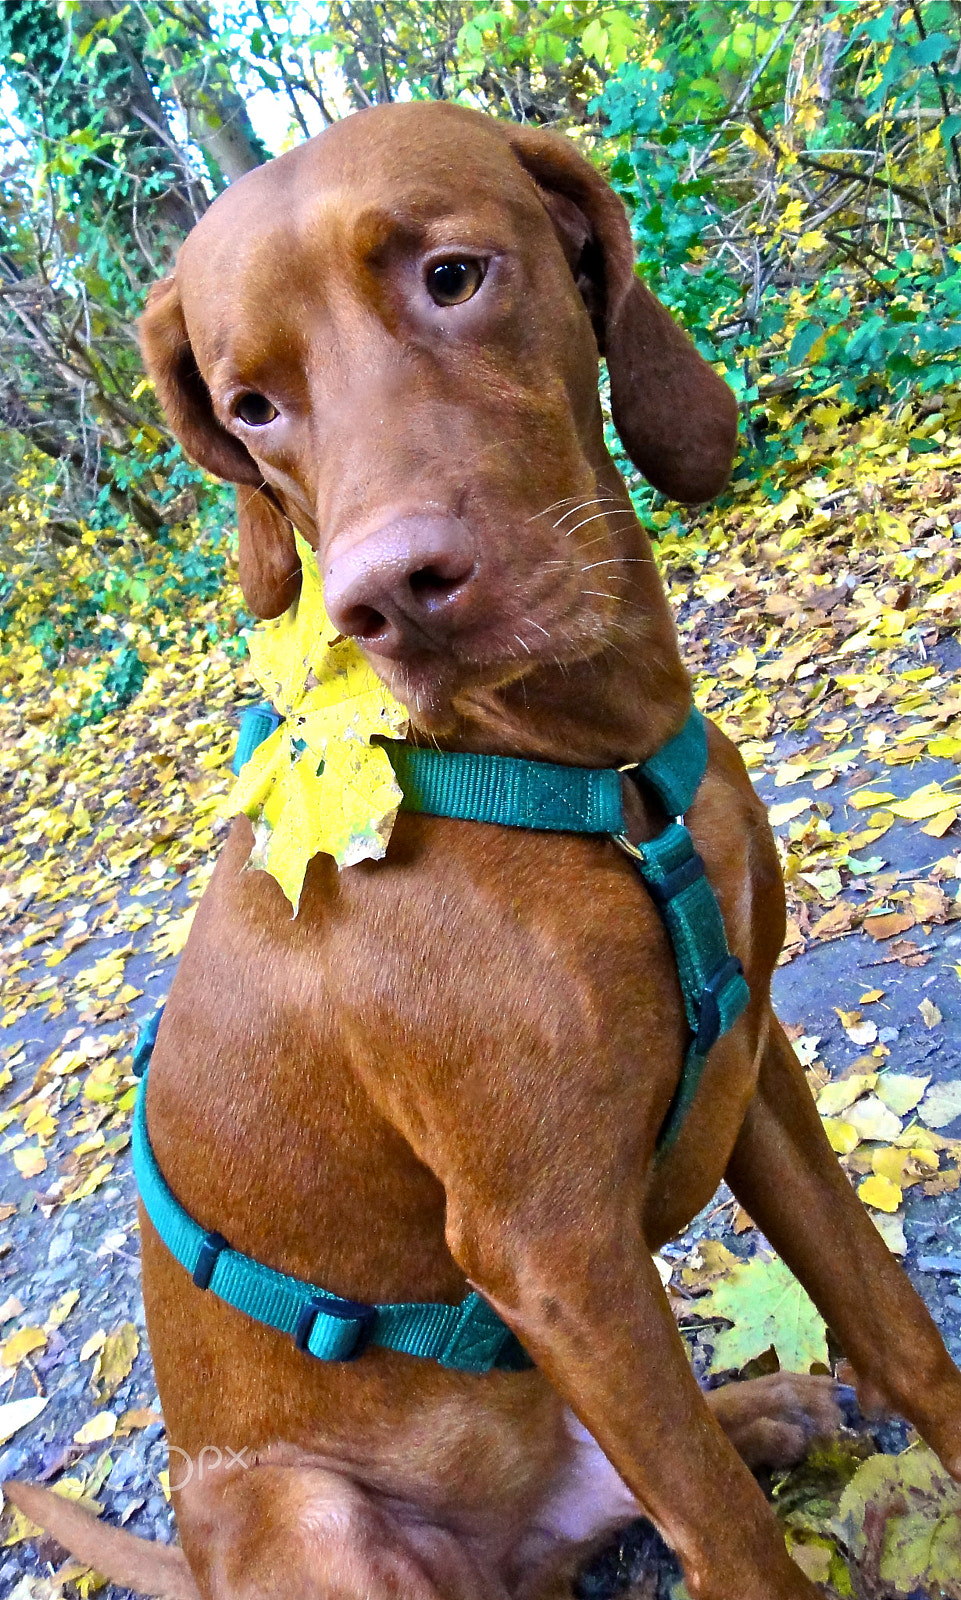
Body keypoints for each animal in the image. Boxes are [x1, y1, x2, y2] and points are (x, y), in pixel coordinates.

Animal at [11, 96, 959, 1600]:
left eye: (452, 276)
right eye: (249, 406)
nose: (390, 597)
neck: (598, 775)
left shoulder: (755, 1073)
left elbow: (894, 1327)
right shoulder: (552, 1249)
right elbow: (735, 1544)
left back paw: (767, 1407)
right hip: (318, 1513)